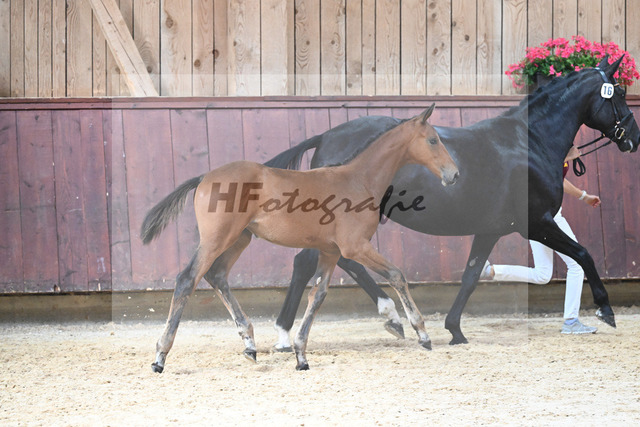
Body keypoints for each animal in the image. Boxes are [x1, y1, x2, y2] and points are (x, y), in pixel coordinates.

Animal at [141, 104, 459, 372]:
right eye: (433, 140)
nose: (454, 174)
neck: (358, 180)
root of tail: (204, 177)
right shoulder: (355, 247)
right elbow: (396, 274)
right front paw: (422, 333)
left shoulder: (331, 252)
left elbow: (317, 295)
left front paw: (301, 355)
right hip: (217, 239)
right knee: (187, 279)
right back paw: (160, 356)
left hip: (240, 239)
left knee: (216, 276)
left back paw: (250, 344)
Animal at [259, 55, 639, 350]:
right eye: (619, 93)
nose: (633, 138)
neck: (529, 142)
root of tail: (325, 136)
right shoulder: (538, 222)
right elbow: (584, 254)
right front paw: (606, 310)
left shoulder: (491, 230)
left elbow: (470, 275)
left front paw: (454, 330)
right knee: (310, 262)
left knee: (331, 261)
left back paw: (379, 319)